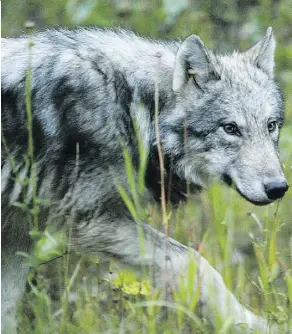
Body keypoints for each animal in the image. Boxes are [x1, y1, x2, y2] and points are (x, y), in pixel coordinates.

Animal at [1, 27, 288, 332]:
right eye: (230, 129)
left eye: (271, 126)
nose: (278, 188)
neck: (131, 107)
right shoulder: (91, 221)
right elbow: (196, 262)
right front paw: (250, 324)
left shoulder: (17, 237)